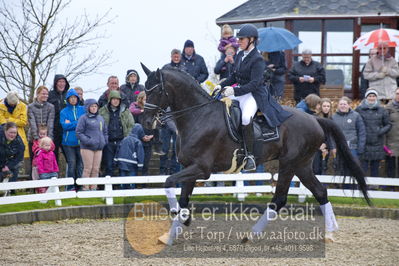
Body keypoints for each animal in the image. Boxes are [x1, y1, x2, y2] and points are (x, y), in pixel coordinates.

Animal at [141, 64, 372, 245]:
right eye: (145, 89)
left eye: (157, 90)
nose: (146, 122)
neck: (198, 115)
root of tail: (315, 119)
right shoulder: (189, 167)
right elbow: (182, 198)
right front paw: (173, 232)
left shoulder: (201, 169)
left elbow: (168, 183)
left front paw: (181, 219)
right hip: (302, 165)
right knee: (320, 192)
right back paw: (330, 233)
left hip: (289, 164)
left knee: (279, 199)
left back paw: (251, 235)